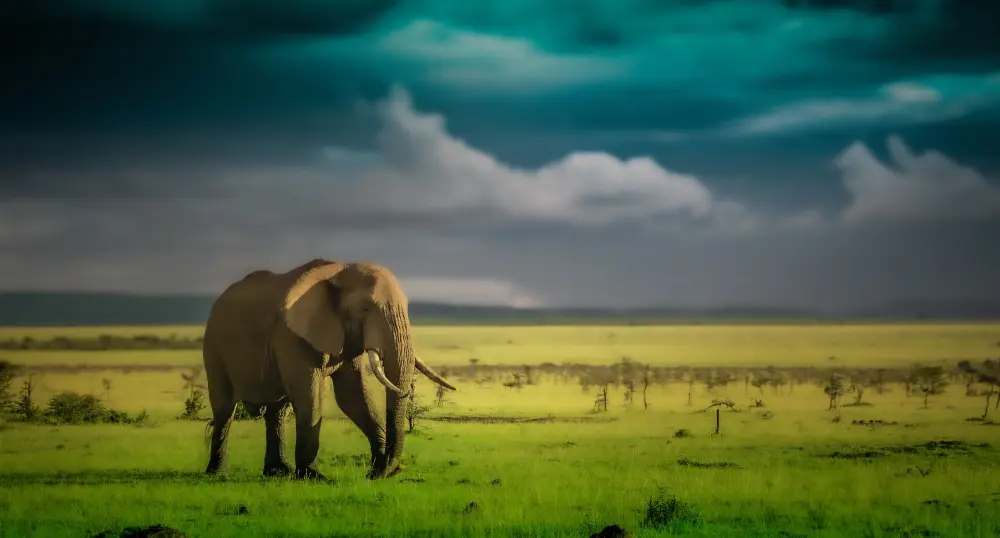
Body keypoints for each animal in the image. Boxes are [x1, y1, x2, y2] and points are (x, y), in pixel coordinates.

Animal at [201, 258, 456, 480]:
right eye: (365, 309)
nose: (382, 472)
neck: (338, 270)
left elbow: (352, 396)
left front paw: (380, 470)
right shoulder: (291, 335)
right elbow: (310, 396)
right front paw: (313, 477)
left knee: (277, 411)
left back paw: (277, 472)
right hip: (213, 345)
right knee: (225, 408)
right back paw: (217, 473)